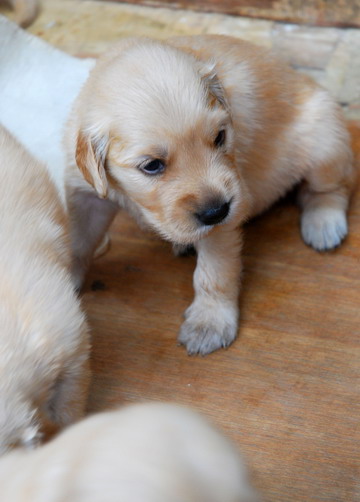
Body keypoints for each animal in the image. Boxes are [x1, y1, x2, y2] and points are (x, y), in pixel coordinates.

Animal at [65, 33, 358, 354]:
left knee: (332, 188)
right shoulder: (87, 195)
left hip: (324, 144)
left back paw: (324, 223)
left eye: (219, 137)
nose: (217, 211)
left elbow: (214, 273)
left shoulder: (224, 221)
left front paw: (210, 321)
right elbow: (78, 241)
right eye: (152, 165)